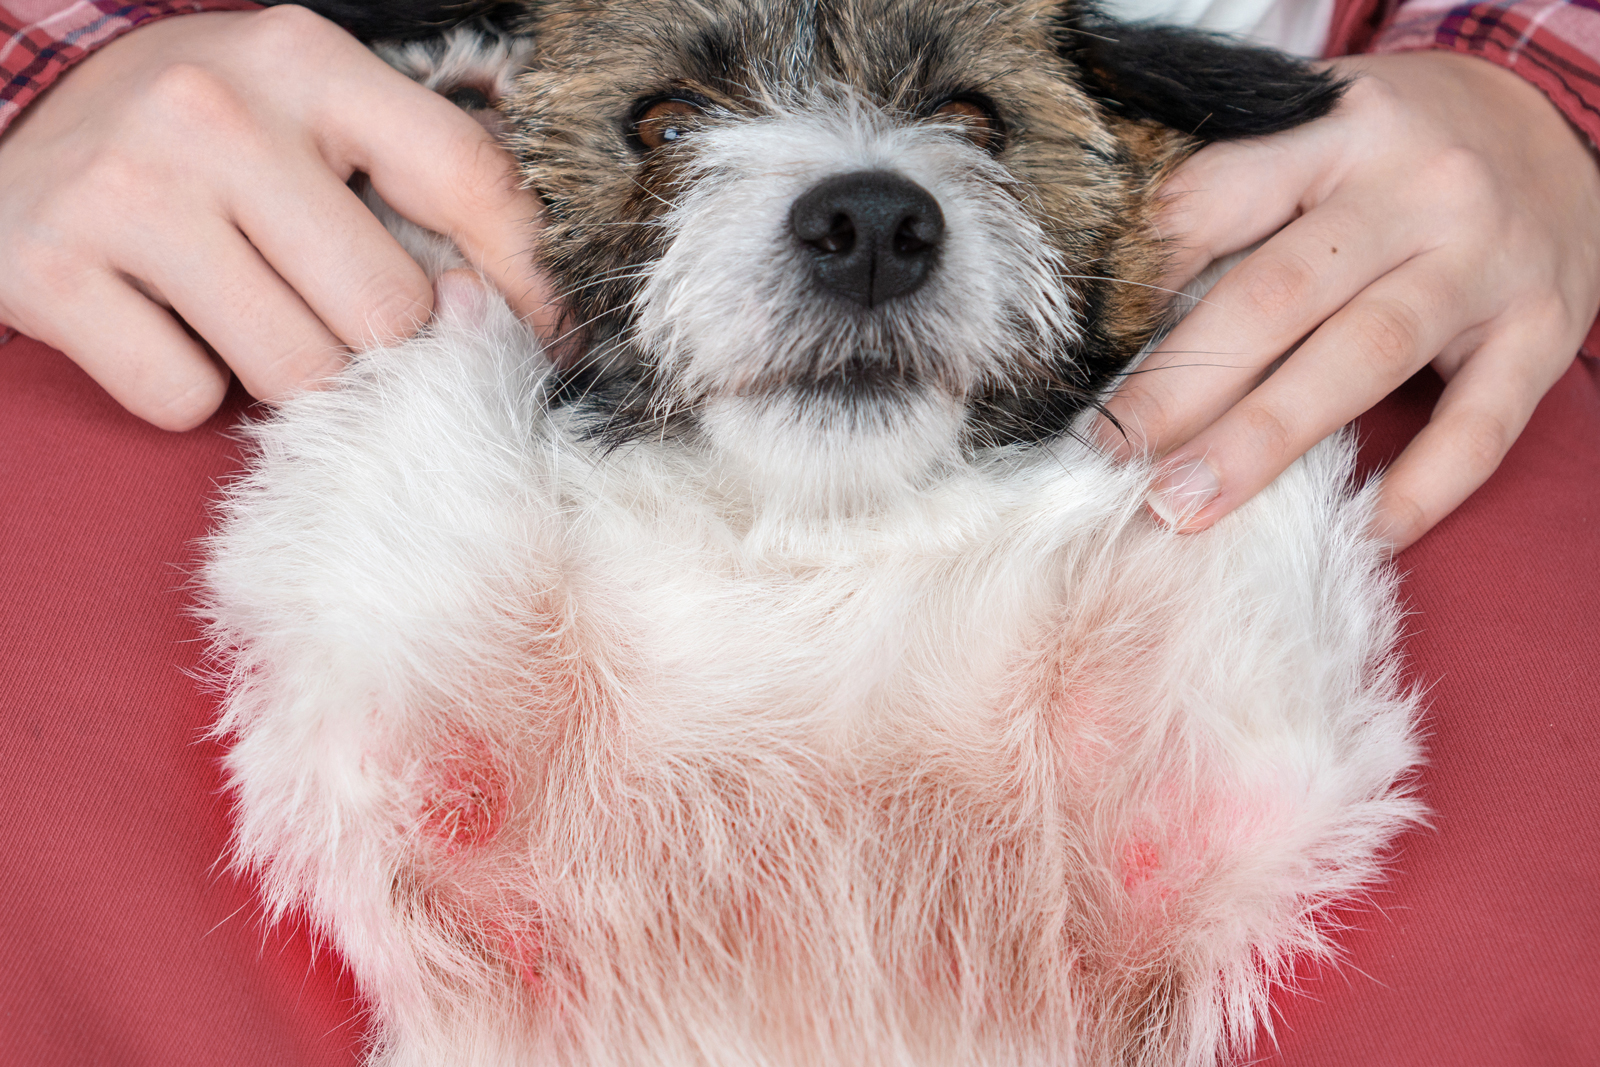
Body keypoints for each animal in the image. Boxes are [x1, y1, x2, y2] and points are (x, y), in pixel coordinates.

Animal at [203, 4, 1427, 1062]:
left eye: (975, 116)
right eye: (666, 120)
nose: (872, 223)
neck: (812, 538)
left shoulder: (1211, 783)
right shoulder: (428, 742)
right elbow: (429, 348)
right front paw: (454, 102)